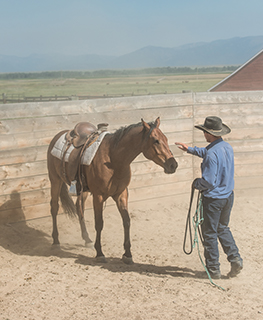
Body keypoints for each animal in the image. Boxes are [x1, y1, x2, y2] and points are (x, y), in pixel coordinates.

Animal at [48, 117, 179, 262]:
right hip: (55, 180)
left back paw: (87, 239)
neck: (113, 159)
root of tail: (59, 135)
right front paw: (100, 253)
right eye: (156, 140)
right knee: (54, 207)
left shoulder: (121, 194)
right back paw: (56, 241)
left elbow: (126, 221)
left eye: (166, 139)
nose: (173, 164)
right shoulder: (98, 196)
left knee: (79, 207)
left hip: (83, 189)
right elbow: (99, 223)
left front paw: (127, 254)